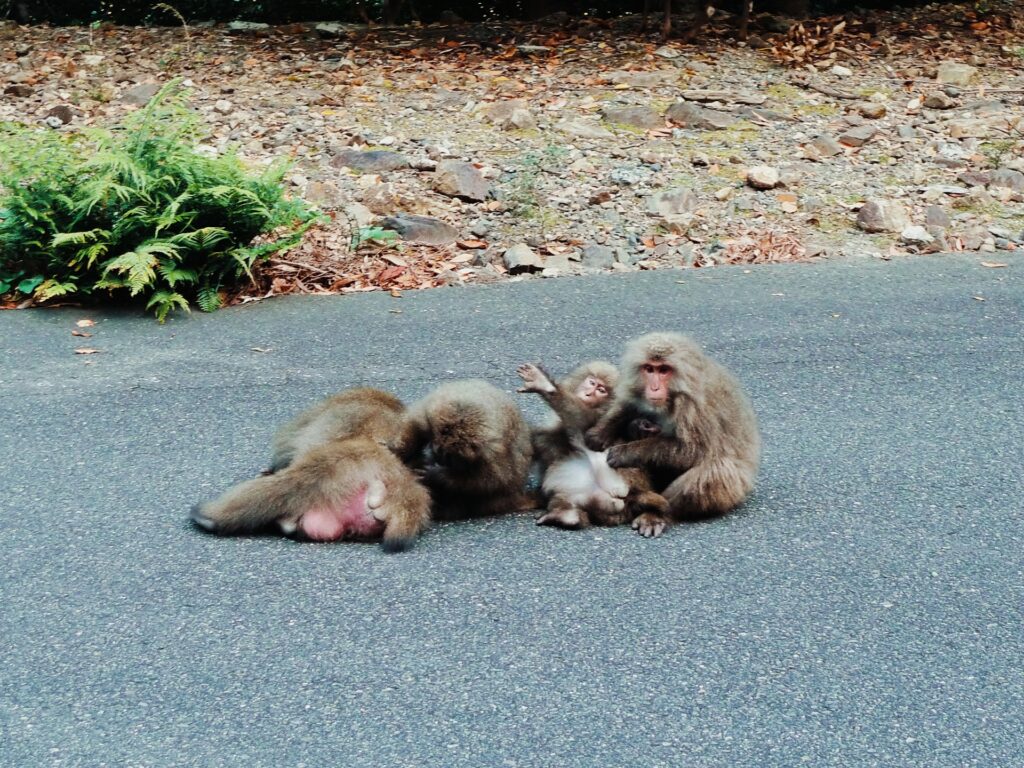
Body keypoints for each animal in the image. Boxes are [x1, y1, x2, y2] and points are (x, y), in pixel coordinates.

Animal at [385, 380, 536, 520]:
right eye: (439, 451)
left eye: (449, 457)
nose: (437, 457)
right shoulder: (432, 414)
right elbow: (415, 423)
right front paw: (399, 451)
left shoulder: (490, 455)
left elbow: (489, 482)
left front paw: (436, 475)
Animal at [520, 360, 671, 528]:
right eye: (591, 383)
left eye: (601, 390)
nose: (588, 394)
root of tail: (633, 494)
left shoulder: (603, 415)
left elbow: (586, 427)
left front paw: (546, 386)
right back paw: (567, 516)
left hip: (625, 474)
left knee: (582, 432)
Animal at [585, 331, 761, 540]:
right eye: (649, 369)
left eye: (664, 370)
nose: (654, 388)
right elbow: (627, 408)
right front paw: (601, 433)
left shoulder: (696, 407)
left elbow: (695, 451)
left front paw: (626, 452)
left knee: (716, 470)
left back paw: (659, 513)